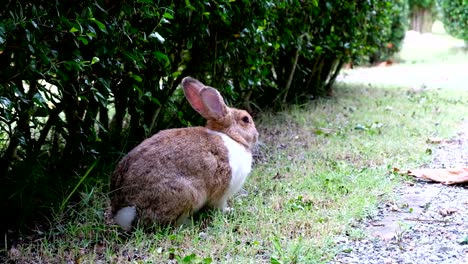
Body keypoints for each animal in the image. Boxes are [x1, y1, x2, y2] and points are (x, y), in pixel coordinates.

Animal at [110, 76, 260, 231]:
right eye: (245, 119)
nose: (257, 135)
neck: (230, 136)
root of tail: (124, 211)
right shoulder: (222, 190)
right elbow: (220, 205)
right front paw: (228, 211)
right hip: (189, 194)